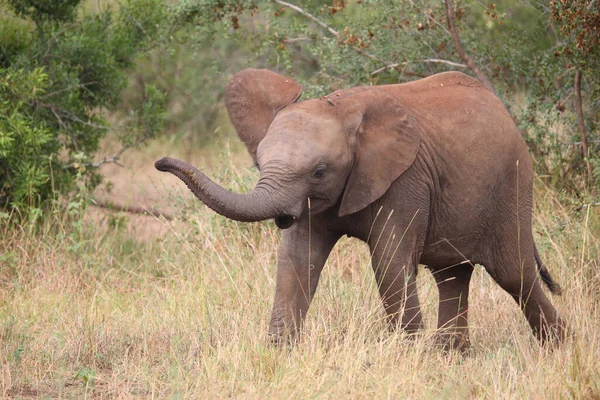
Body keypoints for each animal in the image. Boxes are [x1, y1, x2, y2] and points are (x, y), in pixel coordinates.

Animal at [157, 69, 564, 350]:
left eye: (320, 171)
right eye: (259, 163)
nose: (161, 162)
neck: (342, 110)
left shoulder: (405, 179)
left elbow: (388, 261)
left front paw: (408, 356)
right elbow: (297, 260)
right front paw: (278, 354)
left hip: (513, 184)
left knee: (516, 276)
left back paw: (559, 349)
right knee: (452, 275)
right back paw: (452, 356)